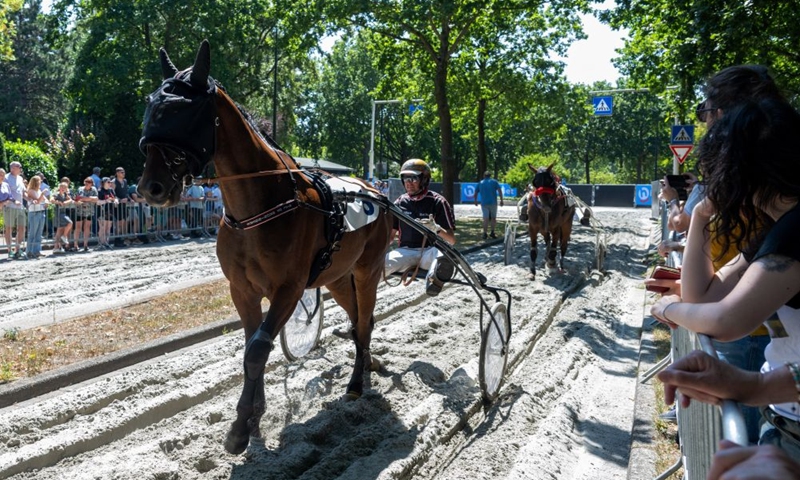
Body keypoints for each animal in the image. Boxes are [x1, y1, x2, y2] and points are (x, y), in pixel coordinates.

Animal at [137, 40, 393, 455]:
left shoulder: (288, 288)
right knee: (358, 321)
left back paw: (356, 383)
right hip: (338, 278)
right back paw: (367, 365)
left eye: (183, 110)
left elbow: (258, 350)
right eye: (151, 103)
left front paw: (241, 427)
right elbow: (250, 346)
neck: (260, 205)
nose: (150, 187)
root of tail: (374, 190)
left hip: (366, 269)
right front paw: (254, 418)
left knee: (366, 321)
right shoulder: (242, 289)